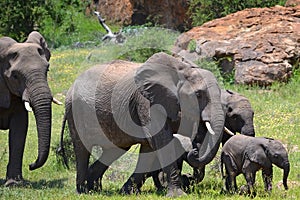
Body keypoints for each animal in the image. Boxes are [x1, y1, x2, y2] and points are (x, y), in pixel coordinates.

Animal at [61, 52, 225, 197]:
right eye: (198, 95)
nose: (195, 150)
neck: (181, 69)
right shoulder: (146, 102)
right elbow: (159, 141)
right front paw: (178, 195)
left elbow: (149, 147)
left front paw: (127, 192)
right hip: (76, 111)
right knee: (82, 149)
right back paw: (82, 191)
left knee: (115, 149)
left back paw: (93, 189)